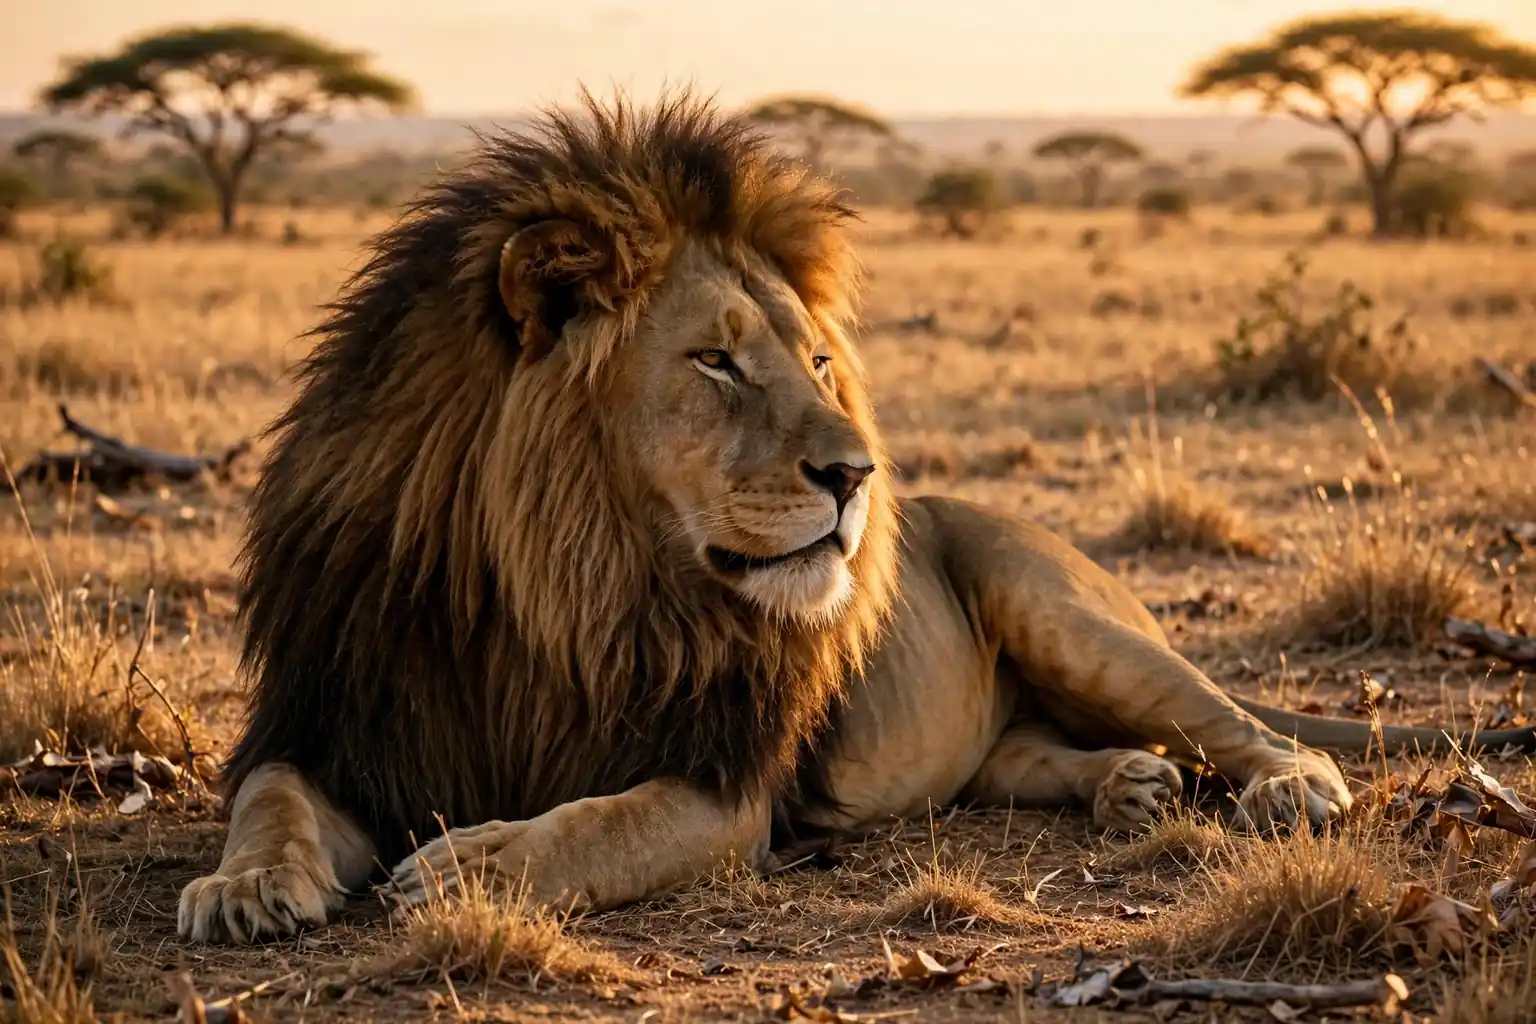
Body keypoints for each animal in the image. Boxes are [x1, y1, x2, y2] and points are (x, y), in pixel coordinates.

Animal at [177, 91, 1536, 944]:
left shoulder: (720, 783)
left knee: (1242, 725)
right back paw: (1130, 788)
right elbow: (270, 801)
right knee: (1029, 757)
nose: (858, 475)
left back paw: (1279, 789)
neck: (559, 590)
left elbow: (594, 825)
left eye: (820, 361)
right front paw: (241, 888)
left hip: (1066, 611)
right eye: (716, 361)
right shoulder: (344, 717)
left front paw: (480, 863)